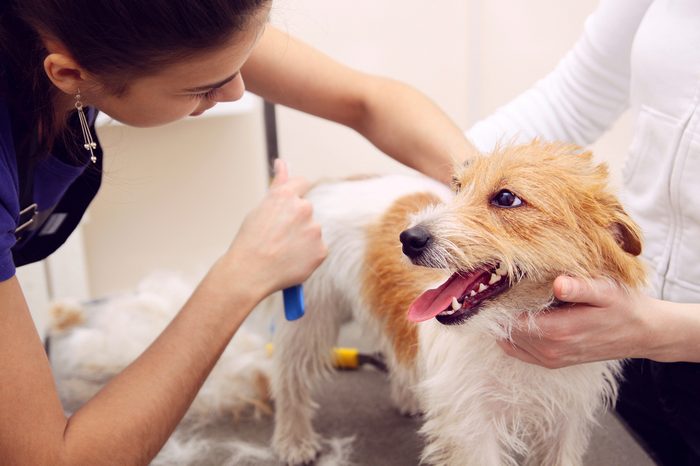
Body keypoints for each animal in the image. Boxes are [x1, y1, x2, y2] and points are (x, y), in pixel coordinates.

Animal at [270, 139, 644, 466]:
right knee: (290, 377)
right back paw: (295, 440)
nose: (408, 238)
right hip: (309, 314)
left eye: (506, 198)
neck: (509, 328)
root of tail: (334, 184)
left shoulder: (565, 418)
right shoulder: (474, 430)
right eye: (459, 187)